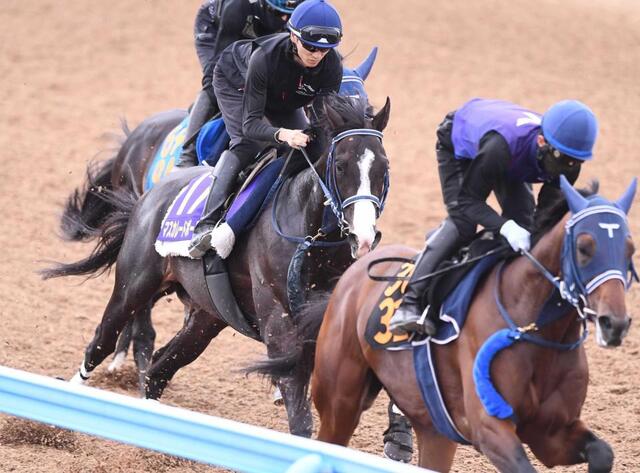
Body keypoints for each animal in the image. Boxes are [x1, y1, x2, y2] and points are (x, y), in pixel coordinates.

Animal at [43, 93, 391, 438]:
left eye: (383, 167)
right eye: (341, 166)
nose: (363, 237)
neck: (312, 238)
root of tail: (150, 195)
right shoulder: (278, 321)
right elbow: (299, 411)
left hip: (207, 318)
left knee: (159, 368)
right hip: (134, 287)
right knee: (101, 342)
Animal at [258, 177, 636, 471]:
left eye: (629, 249)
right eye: (585, 247)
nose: (614, 323)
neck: (534, 330)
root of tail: (347, 280)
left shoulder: (551, 432)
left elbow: (602, 453)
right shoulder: (489, 429)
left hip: (433, 428)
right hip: (340, 402)